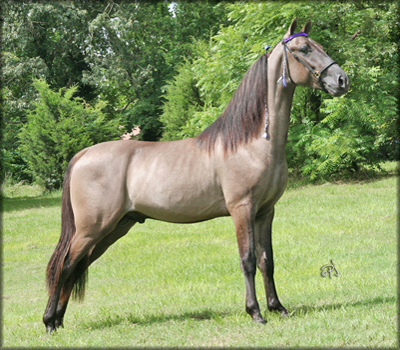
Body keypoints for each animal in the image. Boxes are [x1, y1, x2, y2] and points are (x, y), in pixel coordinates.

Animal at [43, 18, 348, 334]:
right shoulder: (242, 209)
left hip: (114, 227)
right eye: (304, 48)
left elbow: (267, 260)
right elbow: (248, 260)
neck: (251, 143)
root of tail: (82, 155)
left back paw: (59, 320)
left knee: (78, 265)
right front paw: (255, 312)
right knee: (65, 265)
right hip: (92, 228)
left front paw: (278, 308)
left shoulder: (265, 211)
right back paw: (50, 322)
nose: (342, 80)